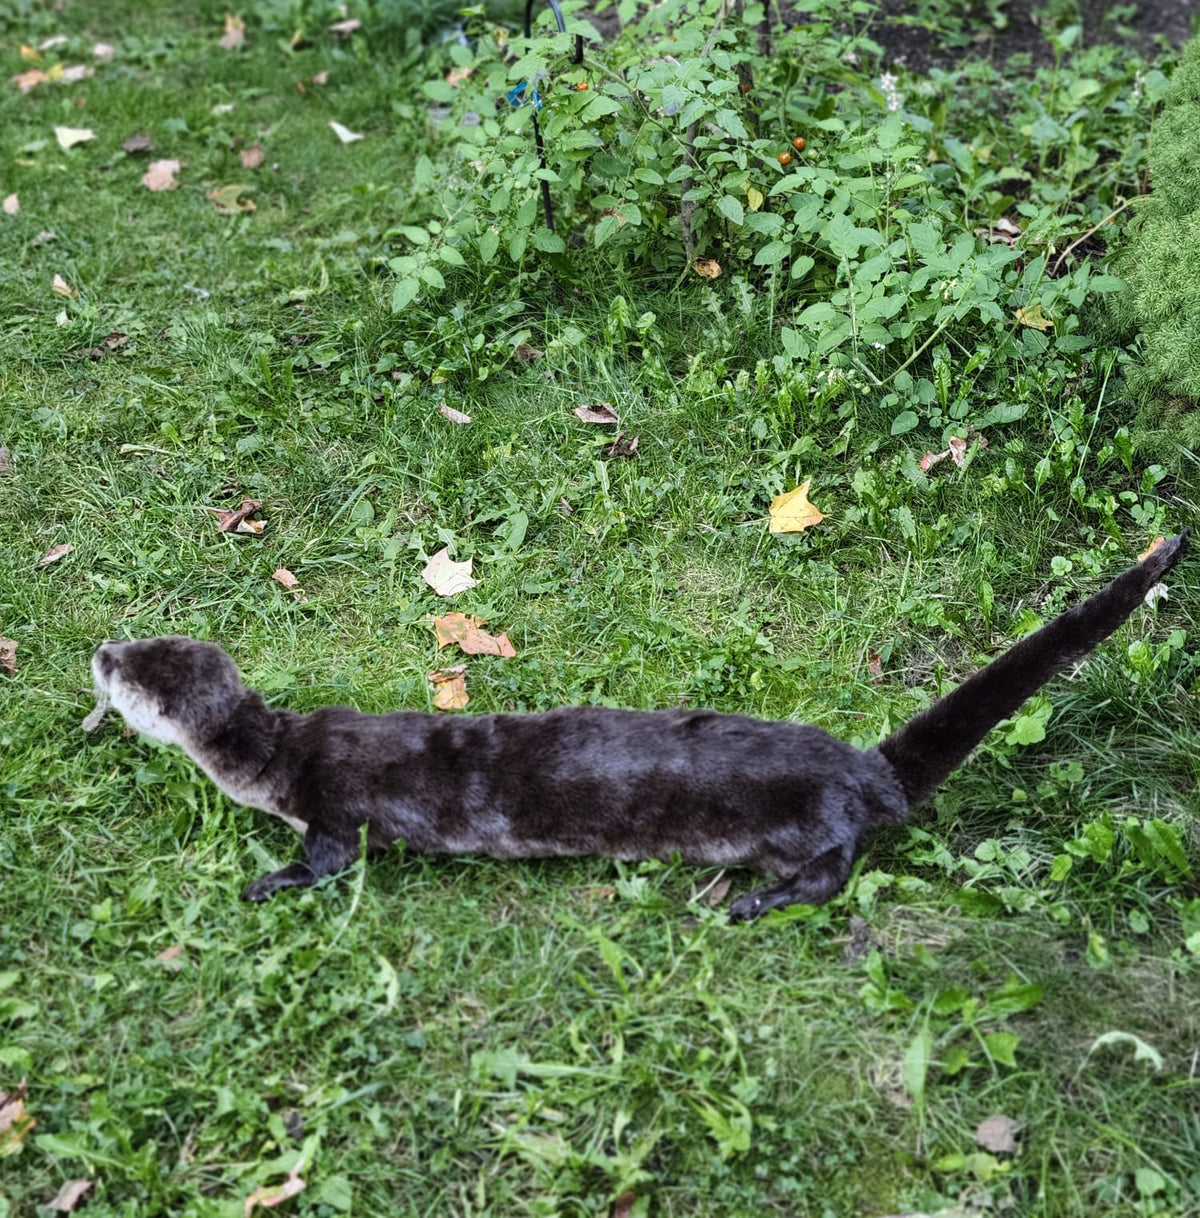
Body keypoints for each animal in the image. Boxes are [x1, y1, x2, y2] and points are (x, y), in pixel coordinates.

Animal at [88, 533, 1187, 918]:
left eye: (133, 675)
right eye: (140, 644)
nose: (98, 649)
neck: (276, 754)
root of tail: (858, 767)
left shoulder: (334, 809)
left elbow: (328, 862)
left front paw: (267, 881)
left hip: (808, 824)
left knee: (834, 868)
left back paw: (753, 903)